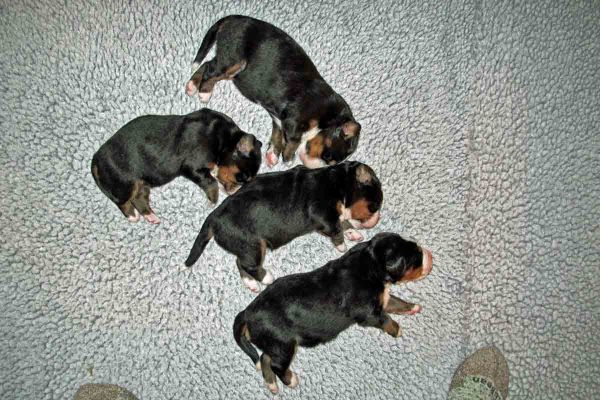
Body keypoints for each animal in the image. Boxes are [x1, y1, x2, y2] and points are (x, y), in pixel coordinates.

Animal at [92, 108, 262, 223]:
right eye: (242, 178)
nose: (235, 190)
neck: (225, 138)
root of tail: (96, 159)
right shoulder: (192, 166)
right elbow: (211, 182)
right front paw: (212, 200)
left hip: (142, 183)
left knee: (139, 198)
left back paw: (151, 217)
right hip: (124, 182)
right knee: (122, 202)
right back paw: (132, 216)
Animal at [183, 161, 382, 292]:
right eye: (375, 206)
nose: (376, 219)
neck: (336, 182)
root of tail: (214, 216)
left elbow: (344, 221)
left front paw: (353, 233)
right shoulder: (322, 213)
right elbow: (337, 229)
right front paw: (342, 245)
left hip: (245, 246)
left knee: (239, 263)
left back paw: (251, 284)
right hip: (253, 245)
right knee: (248, 265)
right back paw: (266, 278)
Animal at [185, 14, 358, 168]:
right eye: (327, 155)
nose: (310, 166)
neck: (328, 116)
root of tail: (234, 18)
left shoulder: (280, 119)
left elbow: (278, 133)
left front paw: (273, 154)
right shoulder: (294, 120)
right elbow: (293, 141)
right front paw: (288, 159)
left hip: (229, 64)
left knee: (207, 64)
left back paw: (192, 85)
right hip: (234, 58)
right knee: (211, 70)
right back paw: (204, 92)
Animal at [232, 233, 434, 392]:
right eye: (416, 258)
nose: (430, 255)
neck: (370, 264)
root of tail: (248, 312)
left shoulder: (381, 298)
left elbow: (396, 302)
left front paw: (412, 307)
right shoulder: (369, 313)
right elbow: (385, 319)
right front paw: (397, 330)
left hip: (275, 344)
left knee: (265, 358)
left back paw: (272, 384)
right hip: (283, 343)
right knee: (275, 364)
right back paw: (290, 381)